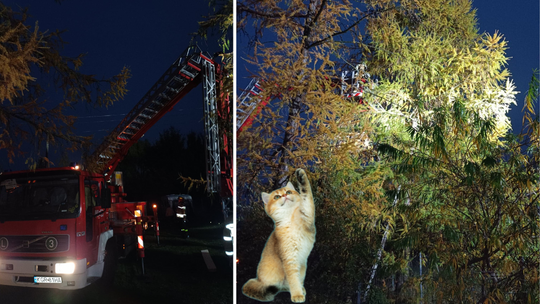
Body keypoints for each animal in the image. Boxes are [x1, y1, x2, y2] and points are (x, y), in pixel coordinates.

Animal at [242, 167, 314, 302]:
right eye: (276, 196)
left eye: (289, 192)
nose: (285, 195)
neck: (290, 218)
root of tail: (258, 280)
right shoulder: (289, 259)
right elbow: (294, 280)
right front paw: (297, 295)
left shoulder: (307, 214)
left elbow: (306, 195)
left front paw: (301, 175)